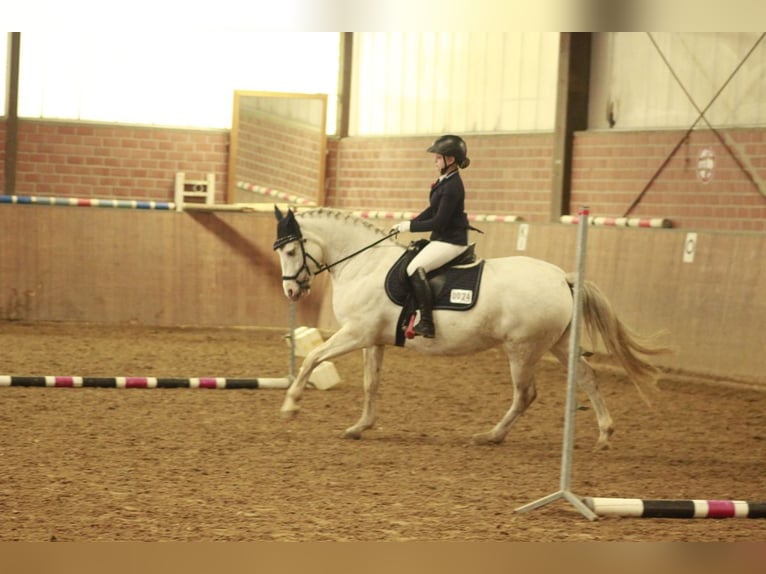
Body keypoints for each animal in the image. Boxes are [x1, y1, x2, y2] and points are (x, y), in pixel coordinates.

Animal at [272, 208, 668, 450]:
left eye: (290, 251)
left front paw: (291, 406)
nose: (290, 292)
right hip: (558, 342)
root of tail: (562, 278)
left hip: (523, 348)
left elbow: (313, 359)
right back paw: (604, 435)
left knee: (526, 394)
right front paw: (360, 426)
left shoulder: (356, 333)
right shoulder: (372, 338)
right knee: (586, 377)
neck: (364, 263)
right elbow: (371, 383)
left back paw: (490, 436)